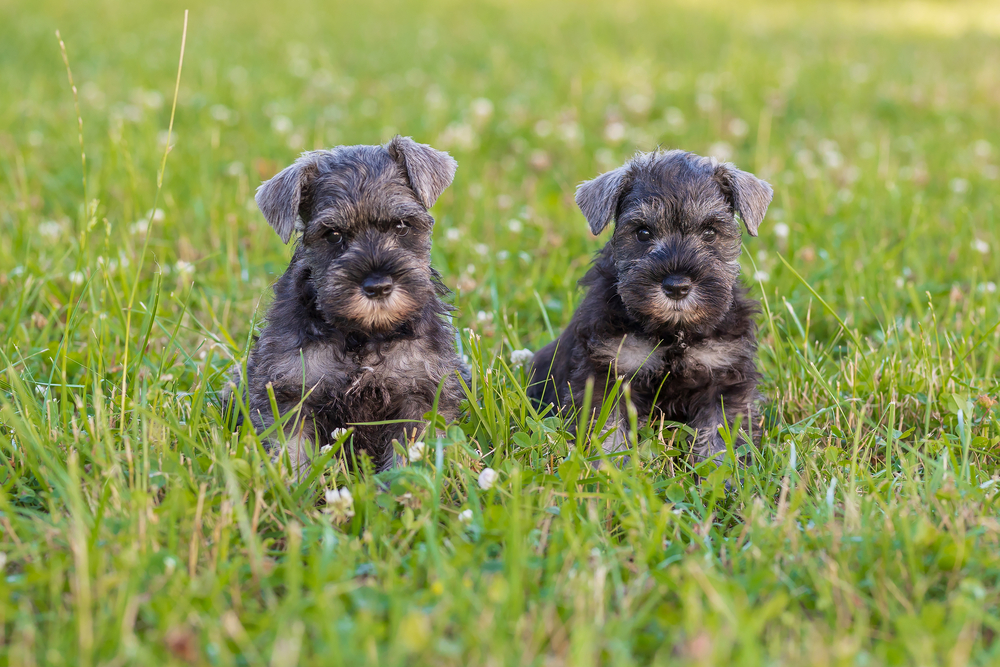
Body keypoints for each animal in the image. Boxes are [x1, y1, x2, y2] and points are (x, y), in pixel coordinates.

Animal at [233, 136, 468, 472]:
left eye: (402, 225)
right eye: (333, 235)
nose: (378, 286)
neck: (363, 336)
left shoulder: (419, 393)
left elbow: (408, 455)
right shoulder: (289, 393)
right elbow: (291, 451)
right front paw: (291, 483)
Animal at [532, 149, 772, 468]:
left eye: (710, 232)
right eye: (643, 232)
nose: (677, 286)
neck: (673, 333)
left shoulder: (724, 378)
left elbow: (719, 437)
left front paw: (722, 475)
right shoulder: (608, 373)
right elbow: (608, 431)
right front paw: (609, 470)